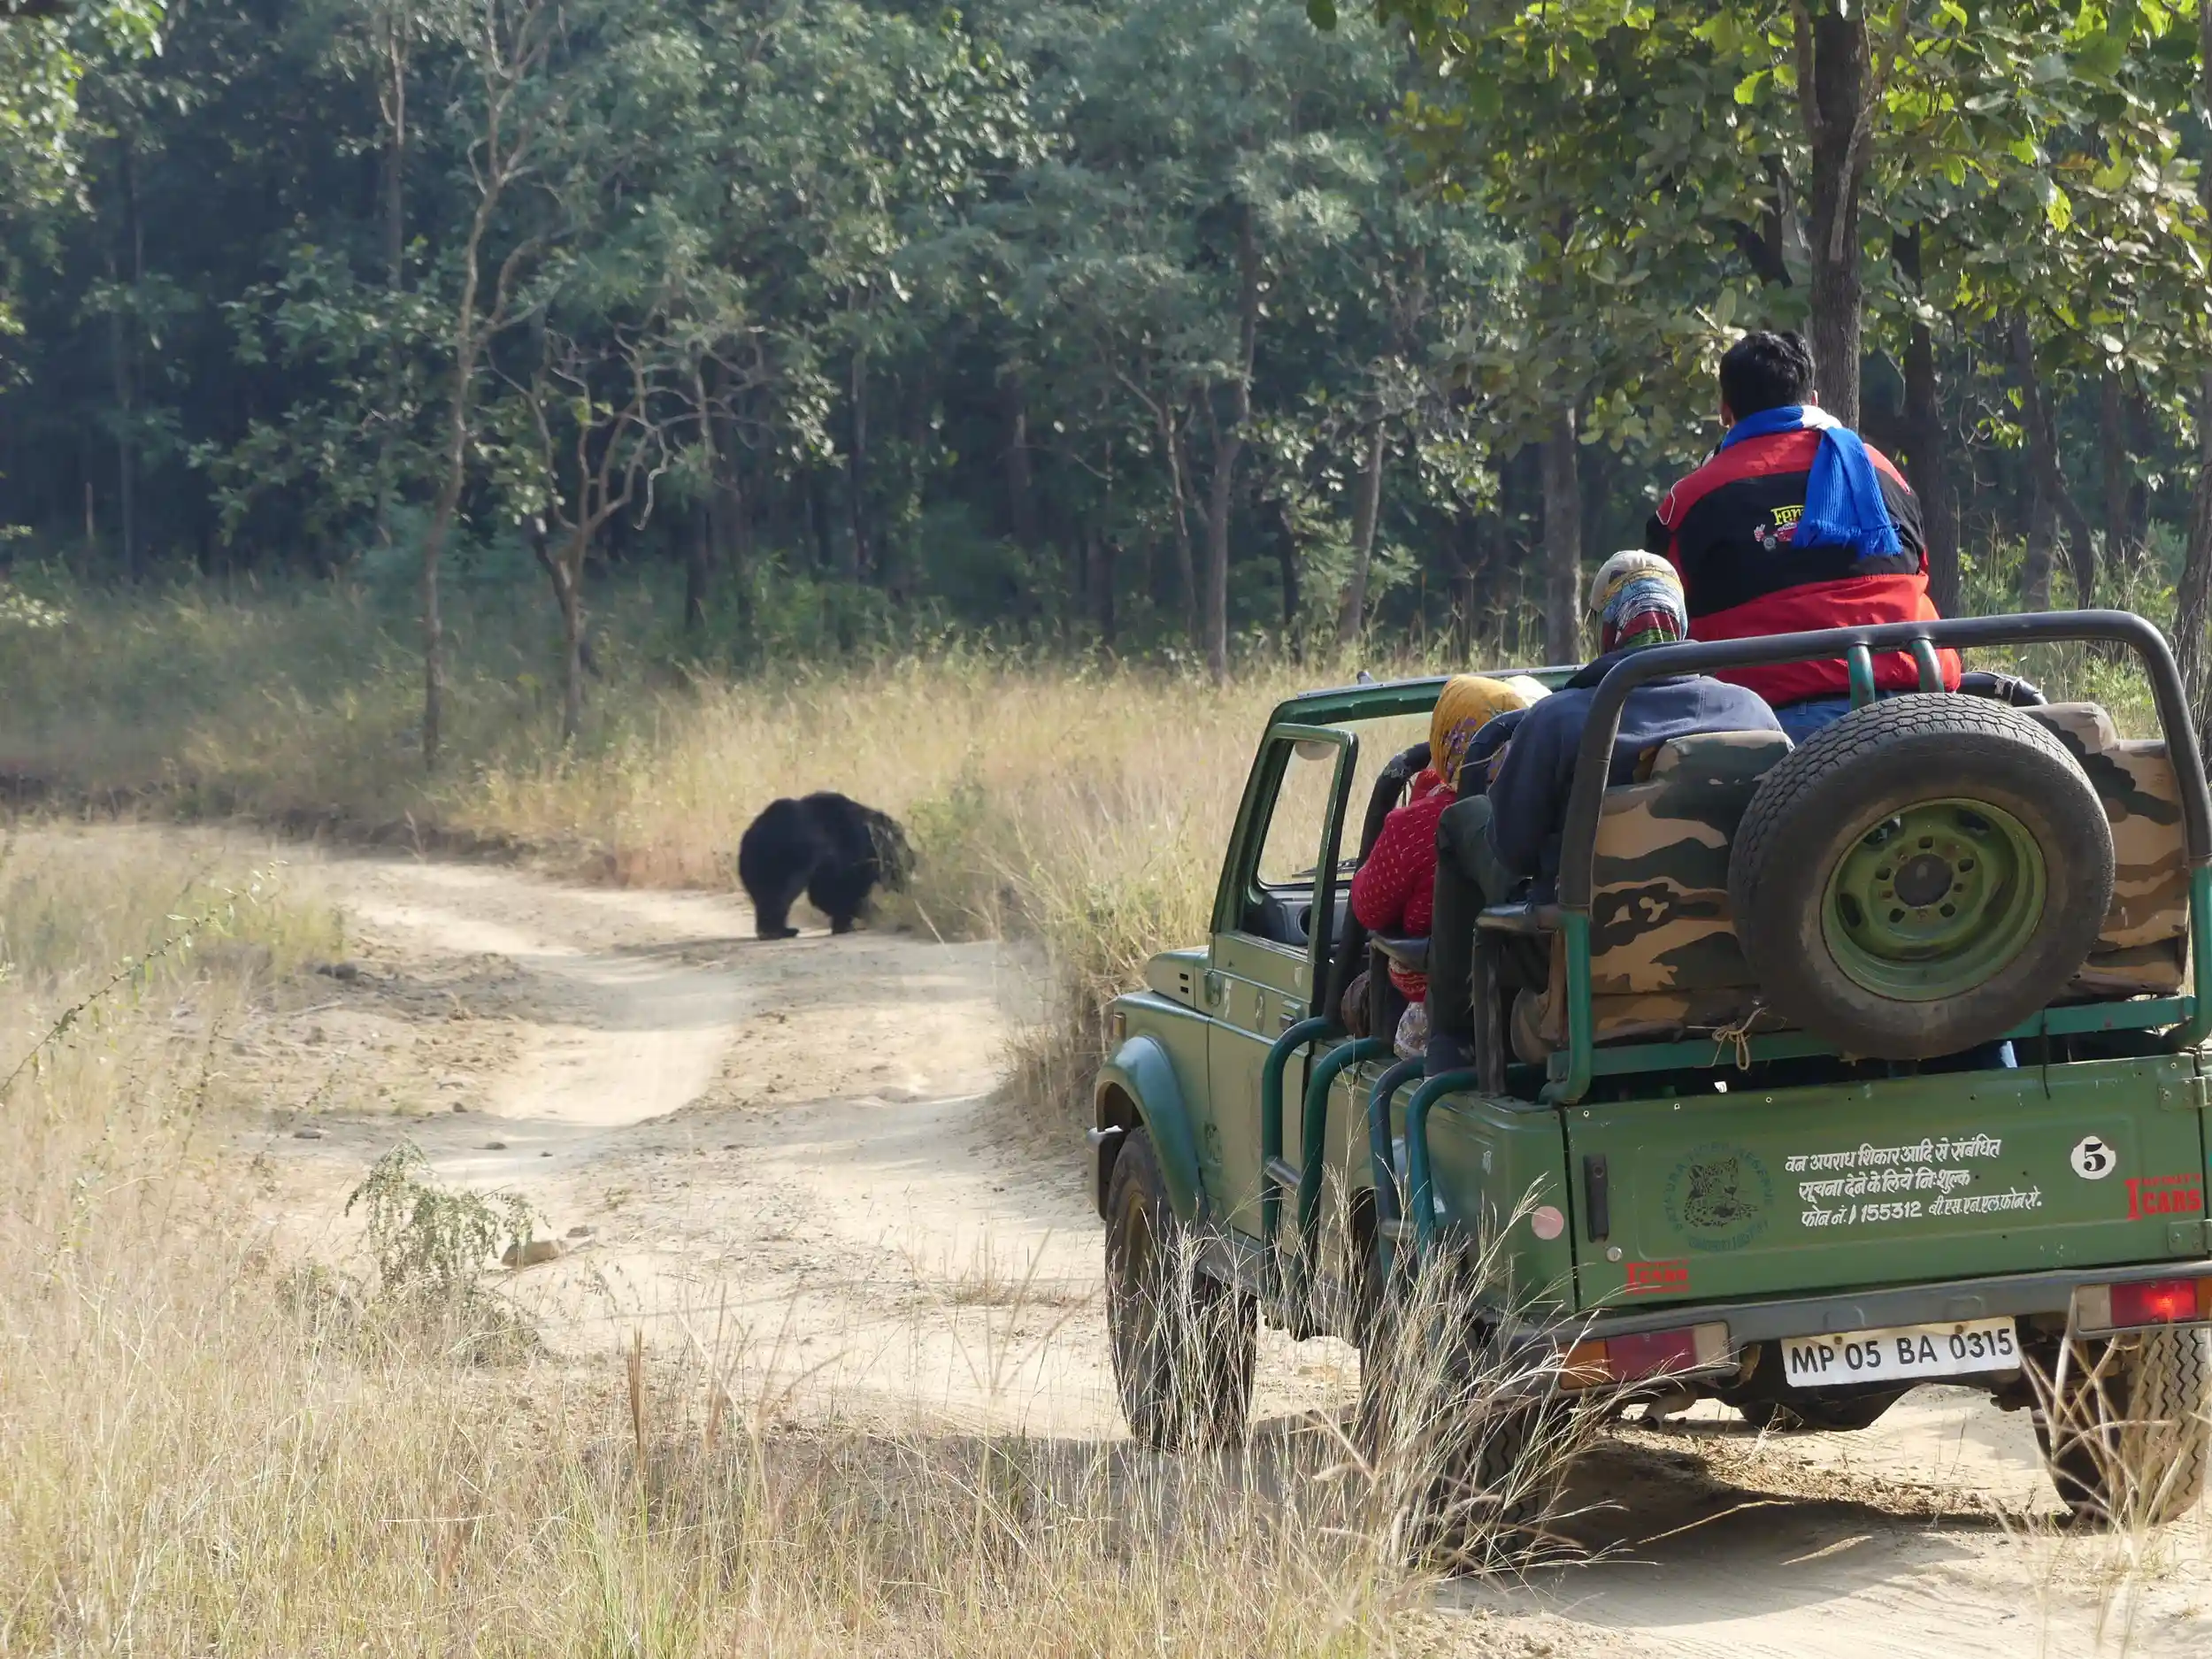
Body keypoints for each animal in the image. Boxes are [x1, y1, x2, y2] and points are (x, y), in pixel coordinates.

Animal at [736, 792, 912, 939]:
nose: (912, 863)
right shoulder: (846, 850)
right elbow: (836, 889)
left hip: (754, 864)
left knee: (764, 893)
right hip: (788, 857)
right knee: (781, 892)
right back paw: (780, 930)